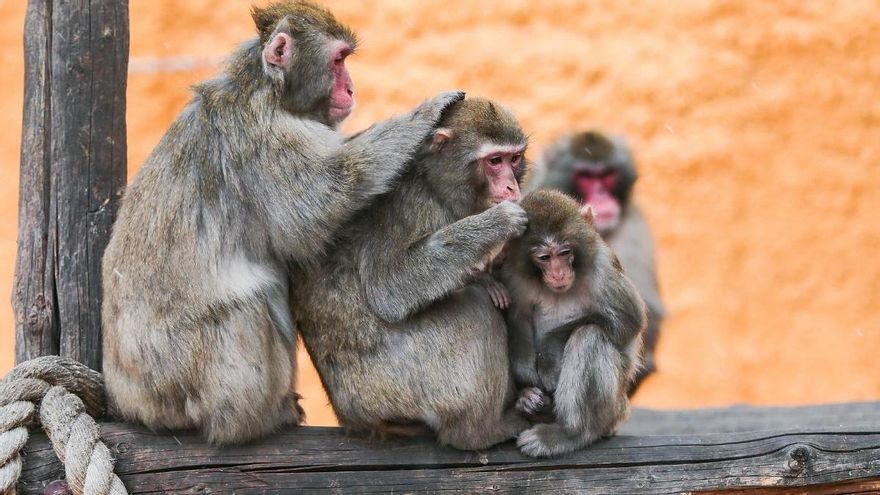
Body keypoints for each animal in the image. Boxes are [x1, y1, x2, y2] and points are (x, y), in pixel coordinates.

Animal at [101, 0, 465, 445]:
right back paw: (257, 420)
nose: (351, 89)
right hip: (186, 378)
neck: (265, 87)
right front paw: (425, 115)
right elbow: (323, 200)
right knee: (251, 300)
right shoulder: (265, 136)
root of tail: (131, 403)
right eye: (339, 60)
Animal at [294, 97, 532, 451]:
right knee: (475, 309)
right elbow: (390, 287)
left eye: (514, 159)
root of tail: (354, 419)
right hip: (400, 390)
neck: (431, 181)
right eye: (494, 161)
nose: (511, 186)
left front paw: (487, 276)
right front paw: (499, 221)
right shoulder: (403, 203)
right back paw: (479, 431)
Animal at [498, 190, 647, 457]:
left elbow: (627, 320)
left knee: (590, 336)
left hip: (613, 409)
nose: (558, 273)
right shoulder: (512, 274)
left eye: (565, 252)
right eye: (545, 257)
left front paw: (549, 357)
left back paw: (570, 434)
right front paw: (528, 388)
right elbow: (517, 318)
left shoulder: (603, 266)